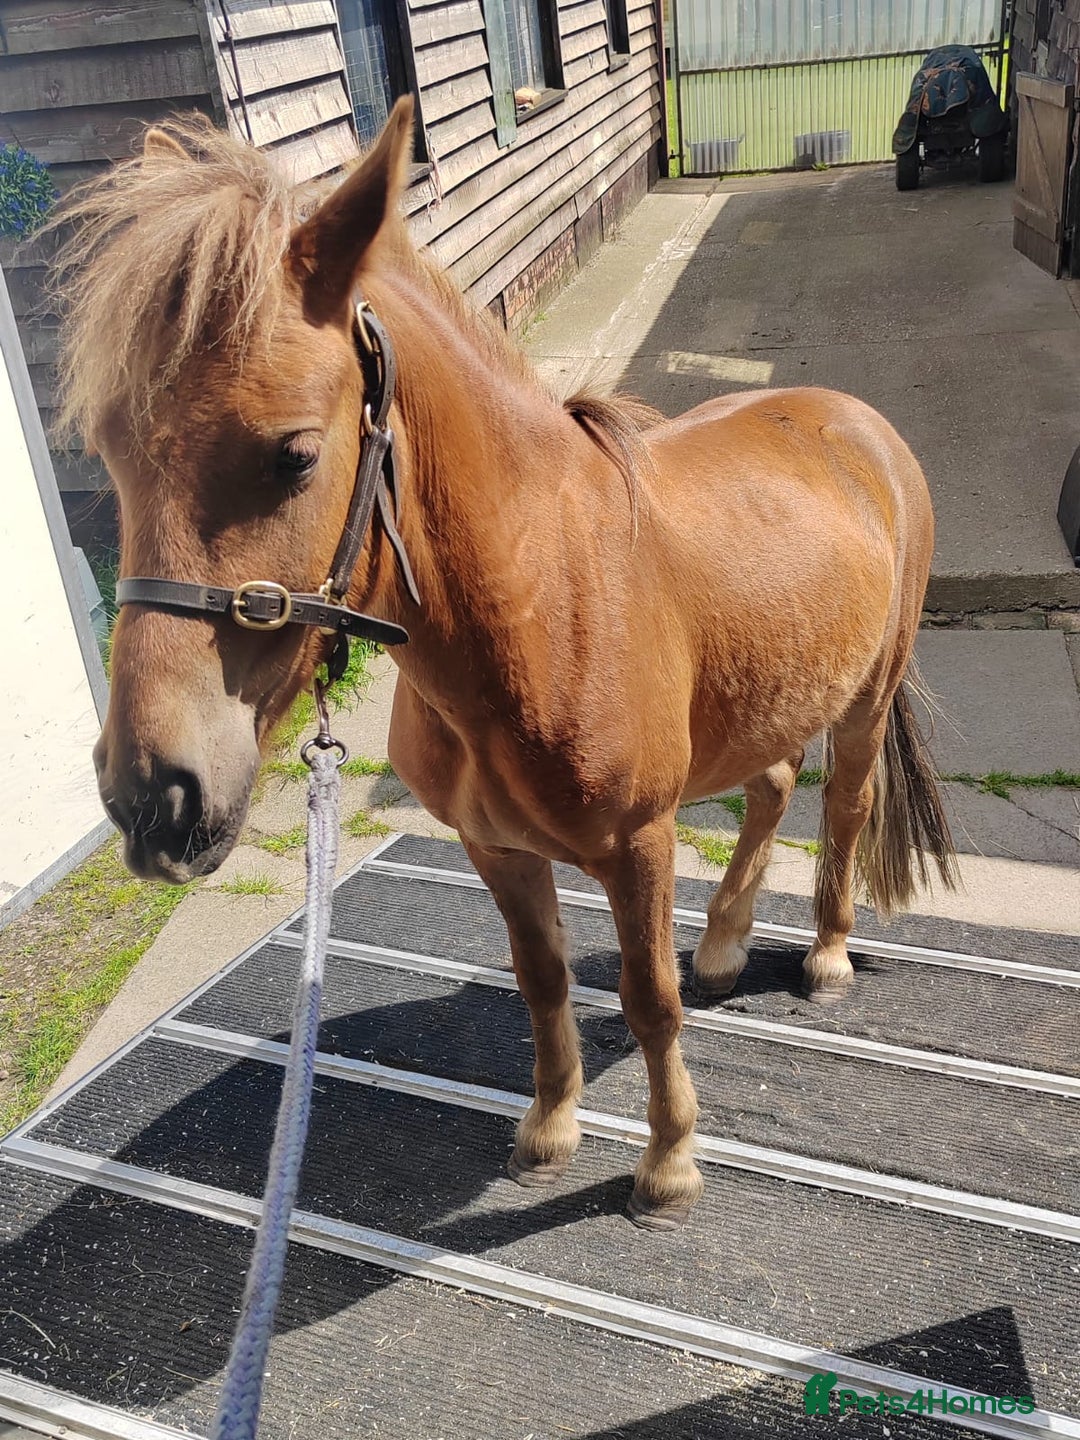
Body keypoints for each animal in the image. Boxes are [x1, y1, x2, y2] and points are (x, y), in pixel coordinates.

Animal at [55, 98, 956, 1230]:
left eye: (294, 455)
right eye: (109, 451)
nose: (155, 796)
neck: (543, 605)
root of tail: (855, 421)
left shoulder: (639, 846)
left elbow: (647, 1001)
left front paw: (668, 1162)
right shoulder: (498, 850)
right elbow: (543, 981)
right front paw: (551, 1128)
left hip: (865, 700)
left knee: (841, 808)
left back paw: (825, 955)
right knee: (771, 788)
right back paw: (724, 942)